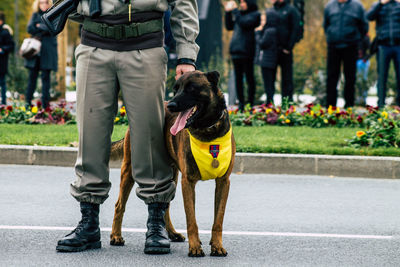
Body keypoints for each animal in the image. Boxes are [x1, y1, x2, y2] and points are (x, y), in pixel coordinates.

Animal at [108, 70, 234, 258]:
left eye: (191, 88)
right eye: (176, 89)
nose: (171, 106)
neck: (208, 130)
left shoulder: (223, 182)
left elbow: (218, 220)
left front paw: (217, 245)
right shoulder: (188, 182)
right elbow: (191, 219)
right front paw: (194, 247)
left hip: (172, 175)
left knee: (164, 204)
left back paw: (171, 233)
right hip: (129, 170)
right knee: (119, 205)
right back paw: (116, 236)